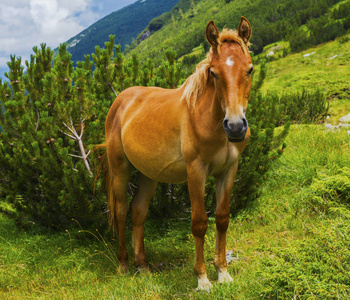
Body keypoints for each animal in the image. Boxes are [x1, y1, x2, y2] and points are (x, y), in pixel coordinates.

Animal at [102, 16, 253, 290]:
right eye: (213, 72)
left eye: (250, 69)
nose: (236, 126)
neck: (210, 120)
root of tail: (121, 99)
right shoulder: (196, 171)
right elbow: (199, 223)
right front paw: (202, 279)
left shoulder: (228, 170)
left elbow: (222, 218)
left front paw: (223, 273)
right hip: (120, 168)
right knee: (120, 211)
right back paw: (124, 265)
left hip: (148, 175)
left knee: (138, 212)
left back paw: (143, 266)